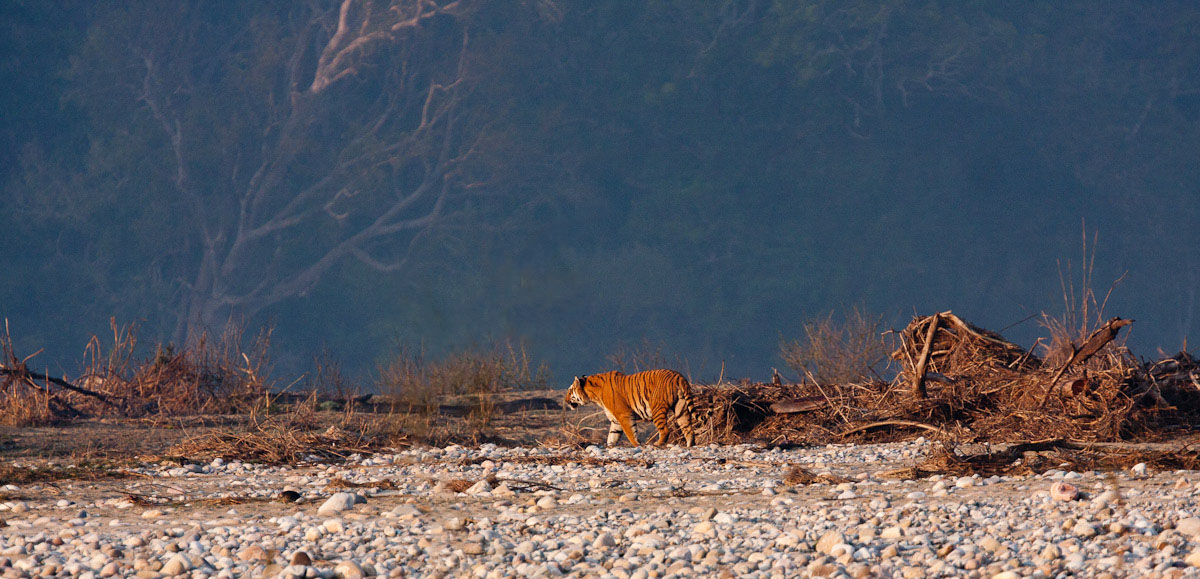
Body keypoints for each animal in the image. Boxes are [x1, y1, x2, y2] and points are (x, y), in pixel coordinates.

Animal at [562, 369, 696, 447]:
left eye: (569, 391)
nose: (565, 400)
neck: (593, 395)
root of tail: (678, 376)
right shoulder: (615, 420)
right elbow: (612, 435)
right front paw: (610, 446)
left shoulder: (624, 414)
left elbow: (630, 432)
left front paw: (637, 444)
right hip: (681, 409)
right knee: (689, 429)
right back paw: (690, 445)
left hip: (657, 408)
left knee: (665, 430)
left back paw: (657, 444)